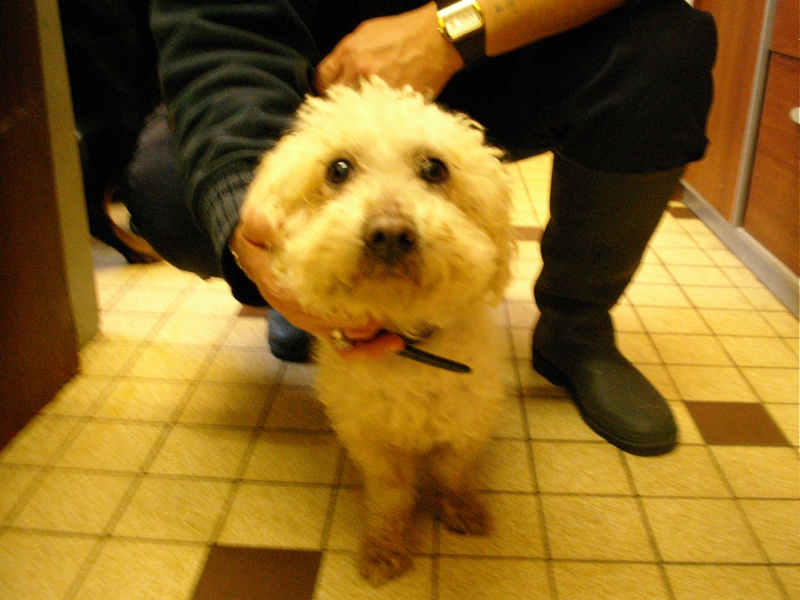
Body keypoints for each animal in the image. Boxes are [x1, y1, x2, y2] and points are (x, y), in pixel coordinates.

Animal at [242, 77, 512, 584]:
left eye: (434, 168)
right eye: (338, 169)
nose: (389, 233)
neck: (409, 346)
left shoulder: (465, 426)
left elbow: (456, 475)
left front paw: (464, 510)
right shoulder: (372, 442)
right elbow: (392, 496)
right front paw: (385, 548)